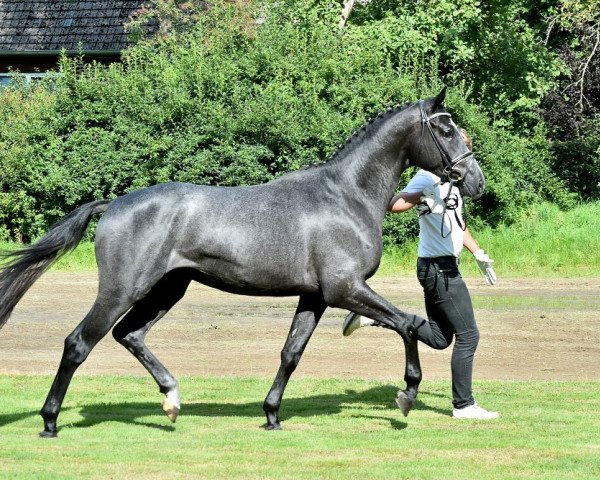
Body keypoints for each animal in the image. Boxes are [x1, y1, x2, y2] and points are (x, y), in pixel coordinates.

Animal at [0, 88, 482, 436]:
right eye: (446, 131)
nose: (474, 180)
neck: (346, 196)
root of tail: (113, 205)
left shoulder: (315, 297)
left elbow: (291, 353)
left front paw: (271, 415)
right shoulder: (345, 289)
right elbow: (406, 324)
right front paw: (408, 394)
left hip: (168, 288)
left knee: (129, 334)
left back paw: (172, 400)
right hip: (123, 289)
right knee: (79, 343)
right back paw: (50, 421)